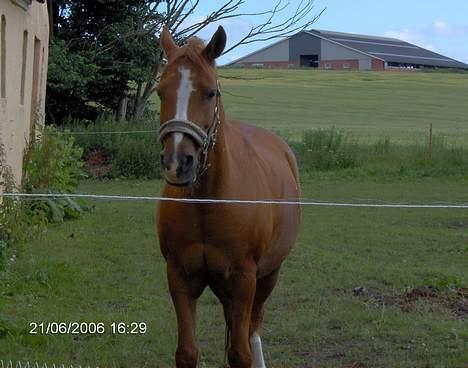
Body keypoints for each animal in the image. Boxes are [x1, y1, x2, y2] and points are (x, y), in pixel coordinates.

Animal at [157, 24, 302, 366]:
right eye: (160, 91)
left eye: (210, 92)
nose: (177, 162)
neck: (207, 202)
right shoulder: (179, 276)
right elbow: (187, 352)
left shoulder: (244, 279)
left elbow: (240, 353)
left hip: (268, 277)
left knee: (253, 329)